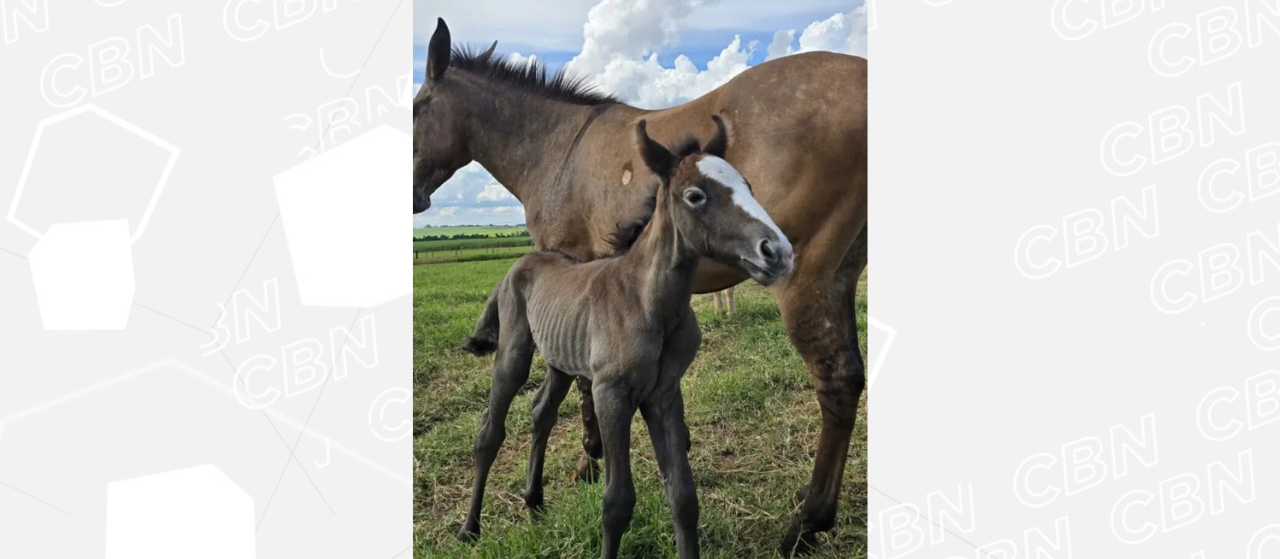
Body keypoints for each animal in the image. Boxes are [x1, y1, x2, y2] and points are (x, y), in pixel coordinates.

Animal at [455, 114, 793, 557]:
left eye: (748, 186)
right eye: (695, 196)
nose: (779, 252)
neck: (648, 303)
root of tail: (518, 265)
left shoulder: (664, 395)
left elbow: (683, 495)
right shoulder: (610, 395)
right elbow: (617, 502)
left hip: (561, 360)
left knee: (541, 411)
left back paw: (534, 502)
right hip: (514, 353)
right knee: (489, 431)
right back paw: (469, 528)